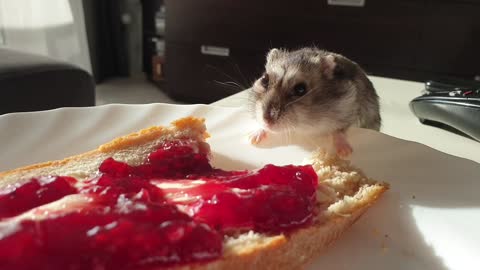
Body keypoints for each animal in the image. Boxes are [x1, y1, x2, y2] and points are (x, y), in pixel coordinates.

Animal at [249, 47, 380, 158]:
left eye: (300, 89)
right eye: (264, 79)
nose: (267, 121)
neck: (305, 123)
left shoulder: (350, 109)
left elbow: (339, 130)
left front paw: (345, 153)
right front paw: (253, 139)